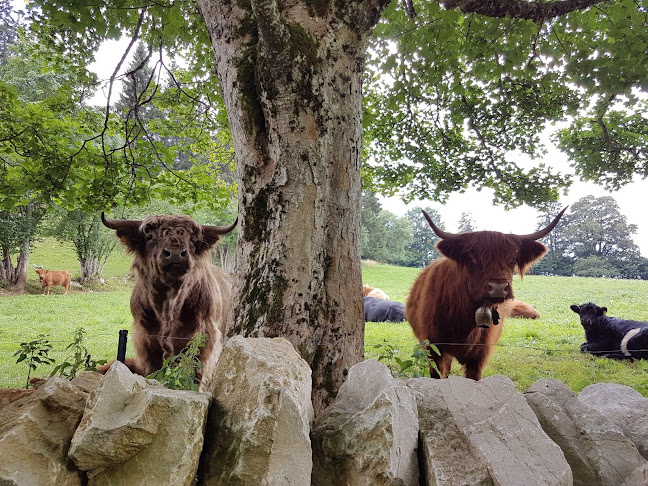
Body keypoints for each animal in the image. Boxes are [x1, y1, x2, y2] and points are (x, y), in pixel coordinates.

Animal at [98, 211, 235, 390]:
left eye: (192, 239)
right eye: (150, 236)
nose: (175, 253)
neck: (168, 306)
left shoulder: (204, 340)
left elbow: (195, 377)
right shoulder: (146, 342)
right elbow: (152, 374)